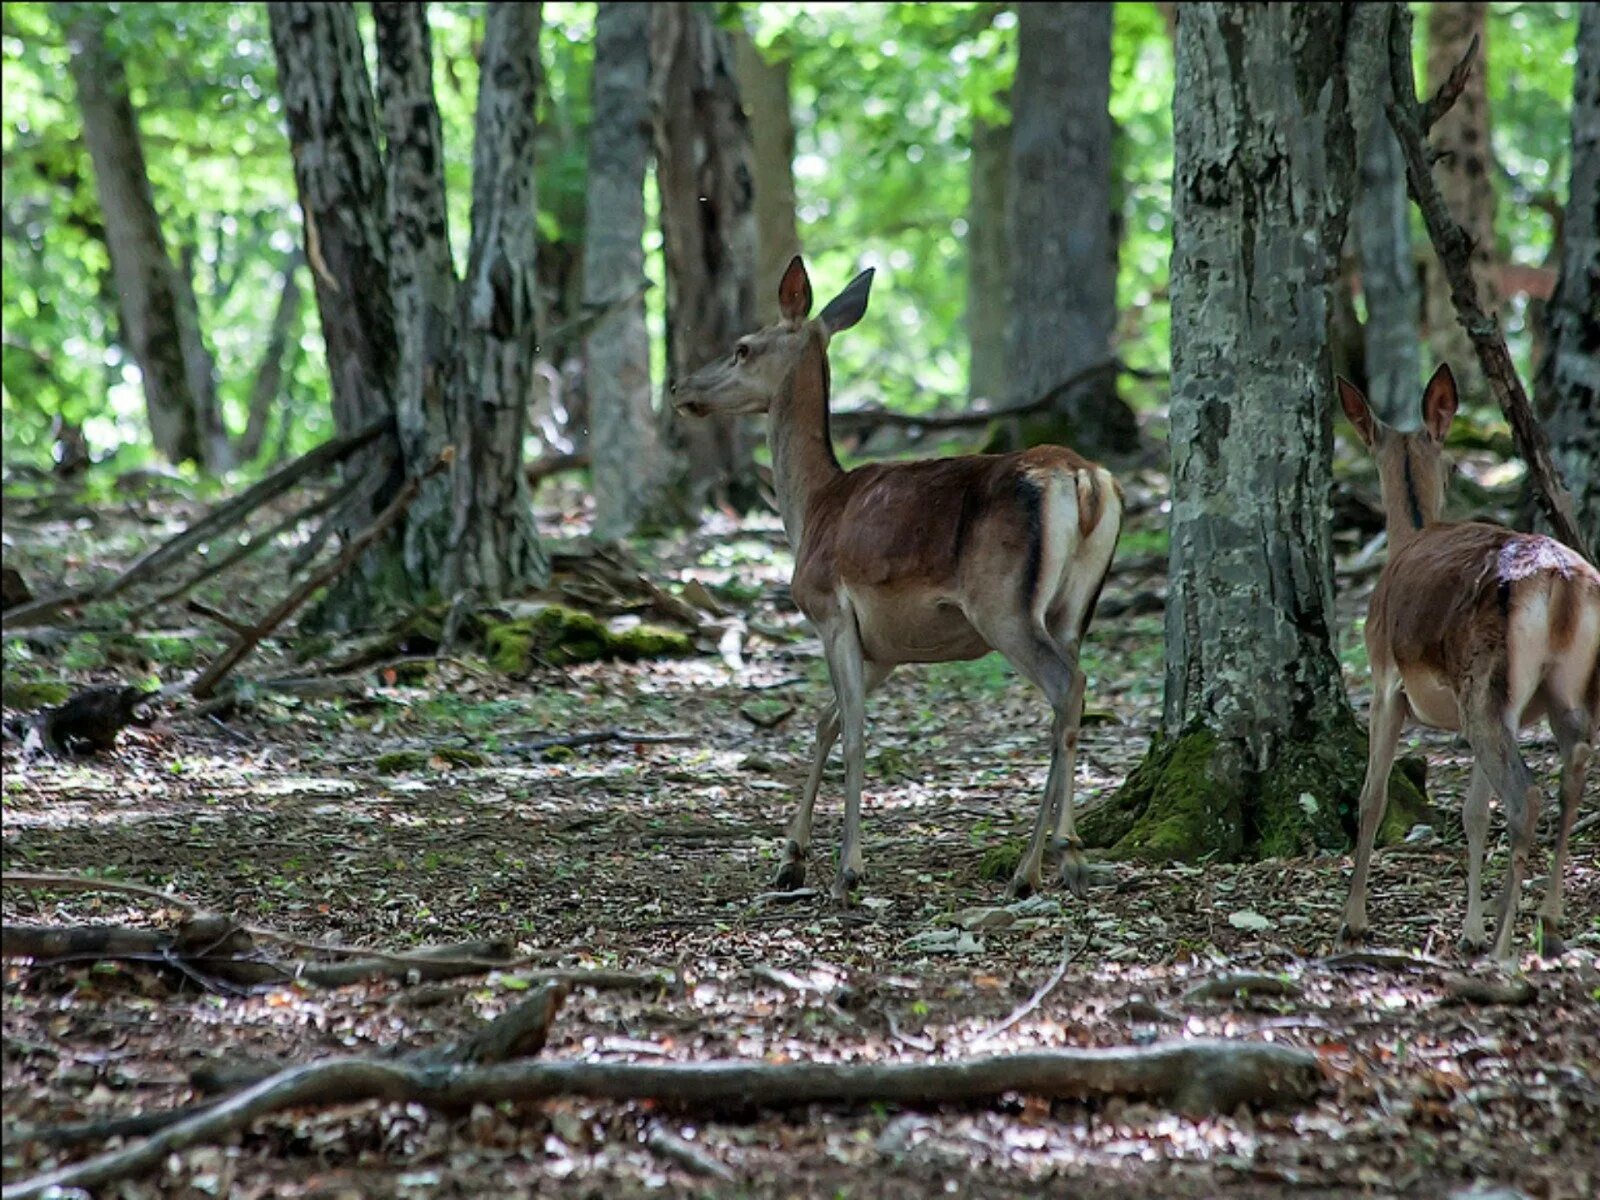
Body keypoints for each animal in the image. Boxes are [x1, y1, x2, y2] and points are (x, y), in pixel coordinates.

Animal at [675, 259, 1126, 908]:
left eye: (742, 347)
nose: (679, 388)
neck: (812, 509)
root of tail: (1086, 482)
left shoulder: (829, 609)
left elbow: (854, 732)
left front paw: (847, 870)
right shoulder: (887, 647)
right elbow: (825, 722)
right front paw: (790, 860)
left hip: (1003, 607)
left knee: (1068, 686)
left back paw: (1049, 859)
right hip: (1073, 608)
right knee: (1074, 695)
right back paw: (1050, 864)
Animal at [1337, 361, 1600, 966]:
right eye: (1454, 461)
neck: (1411, 534)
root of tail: (1562, 582)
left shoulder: (1384, 682)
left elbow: (1371, 797)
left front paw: (1354, 924)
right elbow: (1474, 813)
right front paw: (1469, 930)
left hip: (1486, 684)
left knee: (1526, 795)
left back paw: (1507, 943)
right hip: (1554, 691)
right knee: (1573, 770)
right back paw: (1547, 923)